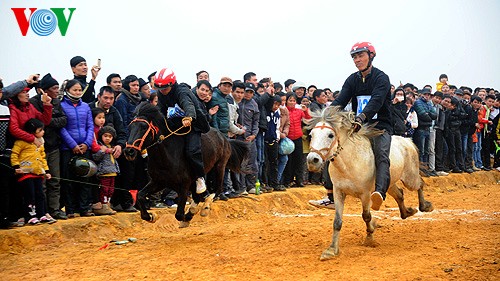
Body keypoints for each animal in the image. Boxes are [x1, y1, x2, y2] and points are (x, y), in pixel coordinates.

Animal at [304, 106, 434, 260]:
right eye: (311, 134)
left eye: (330, 135)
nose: (312, 160)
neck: (349, 163)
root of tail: (407, 140)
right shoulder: (338, 192)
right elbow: (337, 222)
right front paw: (331, 250)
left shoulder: (365, 194)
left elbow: (366, 216)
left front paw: (369, 238)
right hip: (390, 183)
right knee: (400, 194)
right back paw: (407, 212)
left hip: (410, 178)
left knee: (420, 184)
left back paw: (425, 206)